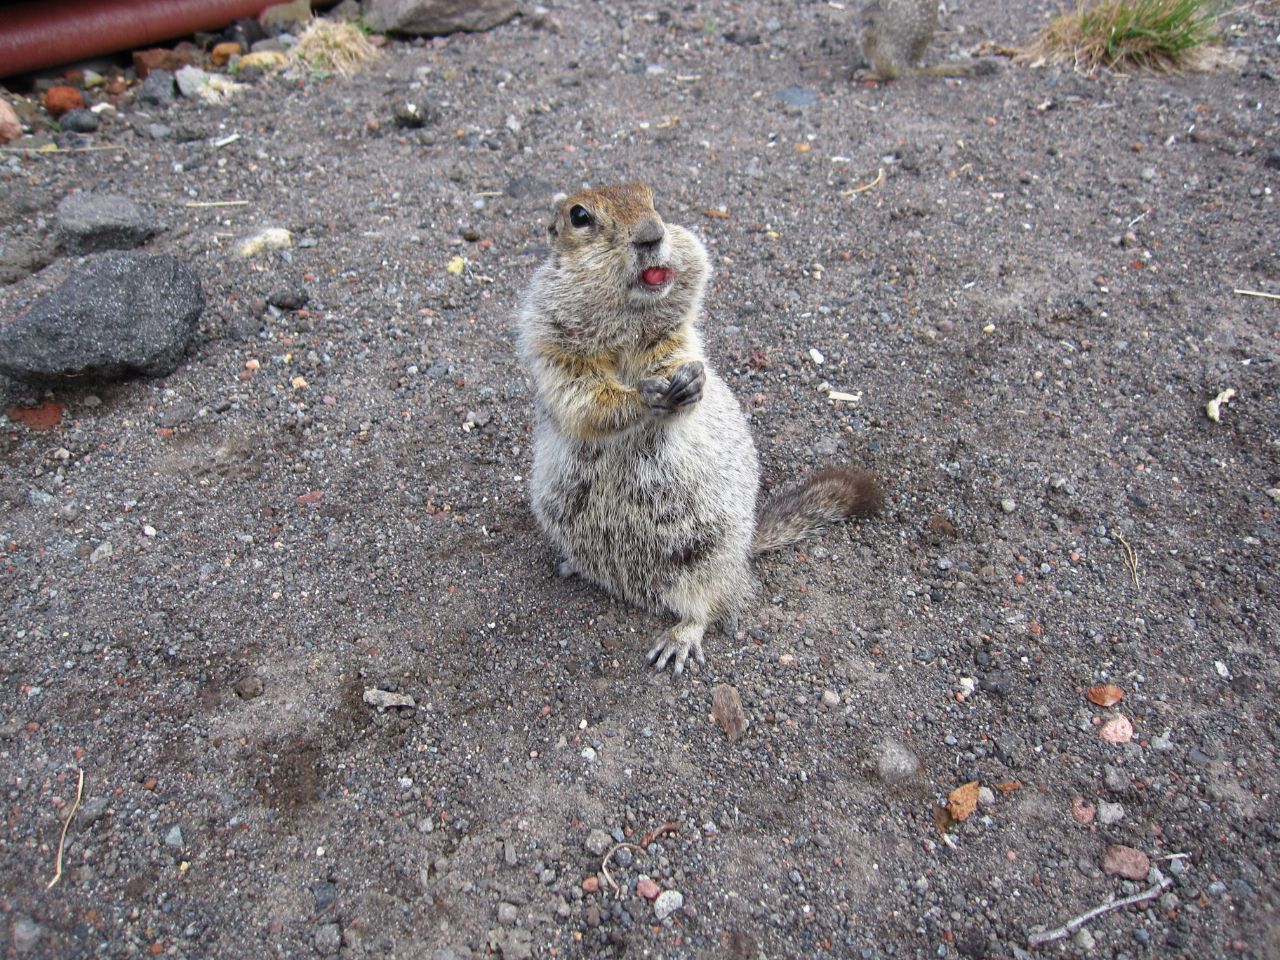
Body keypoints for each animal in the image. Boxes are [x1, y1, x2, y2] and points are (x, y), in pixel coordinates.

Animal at [514, 181, 885, 675]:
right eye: (579, 216)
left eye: (652, 199)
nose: (652, 235)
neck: (625, 325)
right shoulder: (554, 346)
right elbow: (583, 397)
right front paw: (641, 397)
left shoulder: (674, 338)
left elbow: (681, 361)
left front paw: (690, 383)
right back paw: (576, 565)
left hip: (705, 549)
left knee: (707, 604)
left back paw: (680, 637)